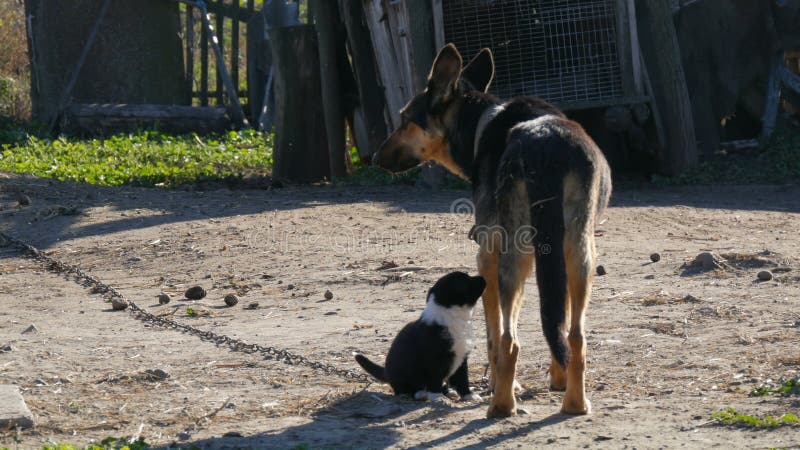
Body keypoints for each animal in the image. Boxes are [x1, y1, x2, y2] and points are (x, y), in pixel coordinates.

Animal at [358, 270, 488, 400]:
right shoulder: (433, 359)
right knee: (403, 389)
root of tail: (386, 372)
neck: (451, 315)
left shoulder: (462, 357)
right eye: (465, 280)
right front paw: (436, 395)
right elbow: (435, 379)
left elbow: (463, 379)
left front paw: (469, 395)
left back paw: (447, 392)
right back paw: (420, 393)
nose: (482, 277)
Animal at [374, 44, 612, 416]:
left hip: (512, 258)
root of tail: (546, 147)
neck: (481, 123)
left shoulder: (486, 257)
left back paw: (501, 405)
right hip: (579, 251)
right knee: (575, 335)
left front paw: (501, 383)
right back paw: (575, 402)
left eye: (405, 120)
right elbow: (555, 317)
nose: (373, 158)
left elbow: (493, 336)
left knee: (509, 340)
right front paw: (557, 378)